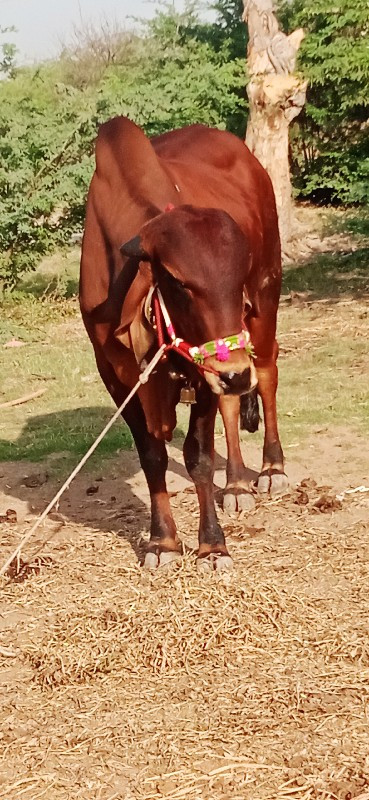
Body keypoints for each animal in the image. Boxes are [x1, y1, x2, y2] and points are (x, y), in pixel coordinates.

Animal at [80, 117, 288, 568]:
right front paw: (162, 541)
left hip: (264, 306)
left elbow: (199, 458)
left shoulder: (203, 369)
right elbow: (152, 456)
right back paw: (236, 485)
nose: (234, 373)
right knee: (233, 401)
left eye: (238, 273)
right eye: (177, 280)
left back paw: (271, 469)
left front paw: (212, 544)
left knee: (266, 374)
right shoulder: (117, 376)